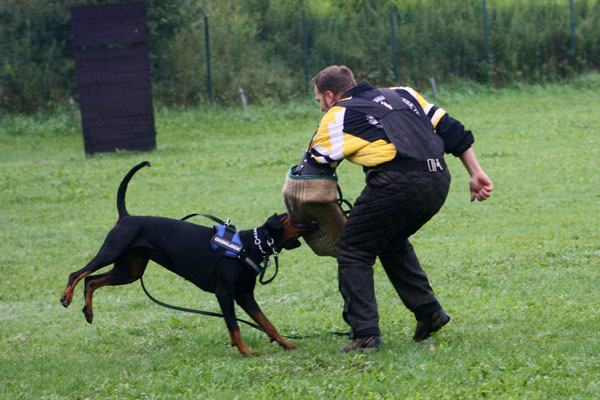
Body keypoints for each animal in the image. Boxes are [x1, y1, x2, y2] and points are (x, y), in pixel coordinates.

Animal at [60, 161, 315, 355]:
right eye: (293, 214)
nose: (314, 218)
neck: (251, 245)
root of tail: (126, 217)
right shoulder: (225, 293)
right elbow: (234, 327)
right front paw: (245, 351)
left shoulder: (245, 296)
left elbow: (267, 323)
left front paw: (286, 343)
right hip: (111, 252)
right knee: (77, 274)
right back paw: (67, 296)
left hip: (129, 271)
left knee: (91, 281)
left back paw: (89, 312)